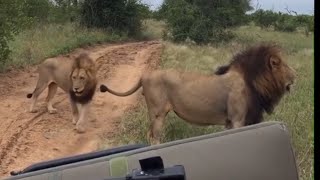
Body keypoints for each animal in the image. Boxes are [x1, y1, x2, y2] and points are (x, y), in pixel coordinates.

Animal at [99, 44, 296, 145]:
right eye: (279, 64)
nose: (296, 75)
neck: (252, 82)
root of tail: (144, 75)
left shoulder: (230, 122)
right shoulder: (237, 119)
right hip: (157, 114)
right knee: (154, 138)